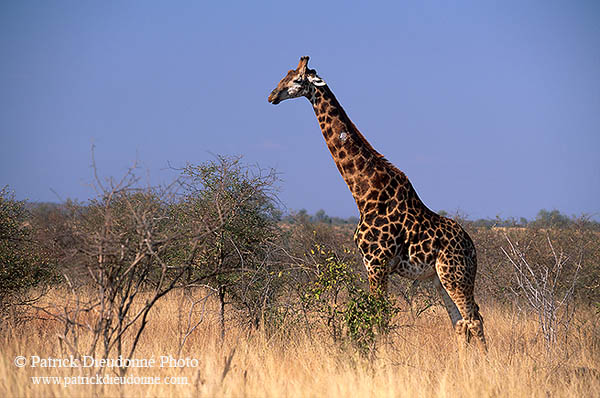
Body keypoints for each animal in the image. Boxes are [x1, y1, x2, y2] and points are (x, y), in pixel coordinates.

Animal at [268, 55, 488, 348]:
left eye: (297, 79)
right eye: (285, 74)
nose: (272, 95)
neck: (364, 193)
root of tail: (473, 248)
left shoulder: (377, 263)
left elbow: (378, 318)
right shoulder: (371, 265)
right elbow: (377, 317)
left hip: (456, 275)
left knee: (474, 319)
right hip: (439, 279)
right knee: (461, 322)